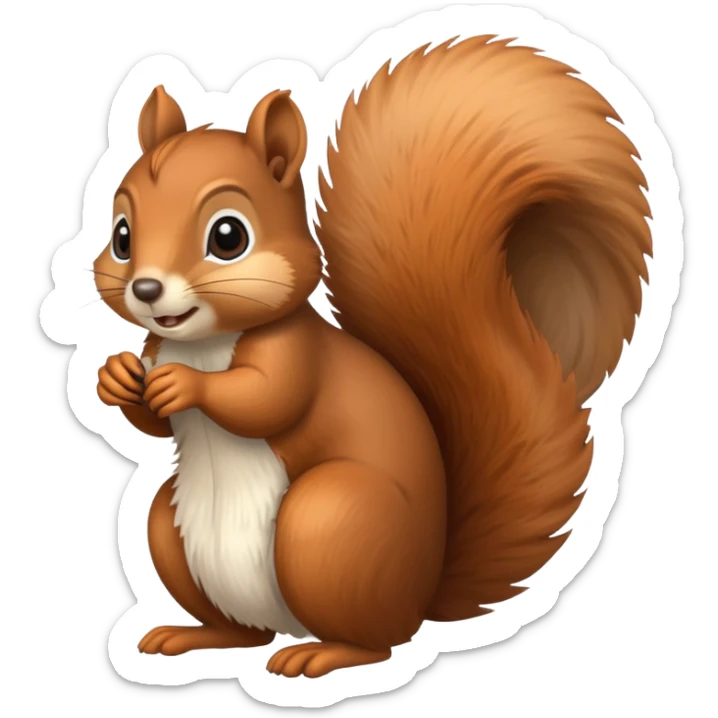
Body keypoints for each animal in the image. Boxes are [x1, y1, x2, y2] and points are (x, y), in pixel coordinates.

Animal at [93, 36, 651, 678]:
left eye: (228, 237)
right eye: (122, 234)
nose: (146, 289)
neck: (204, 343)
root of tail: (421, 595)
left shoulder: (295, 350)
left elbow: (267, 400)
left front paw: (186, 386)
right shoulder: (155, 345)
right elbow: (153, 424)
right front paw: (115, 380)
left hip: (331, 522)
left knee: (377, 642)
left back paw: (322, 653)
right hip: (176, 529)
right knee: (243, 633)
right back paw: (196, 636)